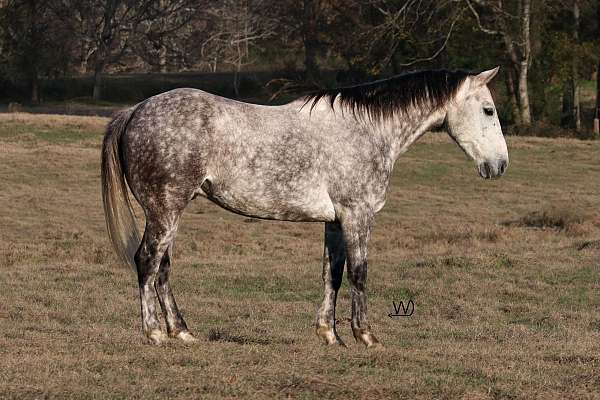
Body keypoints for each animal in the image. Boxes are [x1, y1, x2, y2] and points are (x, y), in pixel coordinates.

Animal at [102, 68, 506, 346]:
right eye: (488, 110)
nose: (500, 165)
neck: (367, 130)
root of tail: (135, 111)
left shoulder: (335, 221)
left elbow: (333, 275)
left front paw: (330, 335)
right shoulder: (357, 215)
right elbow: (359, 274)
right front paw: (366, 336)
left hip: (169, 213)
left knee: (163, 268)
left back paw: (182, 332)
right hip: (165, 210)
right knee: (147, 262)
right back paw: (154, 334)